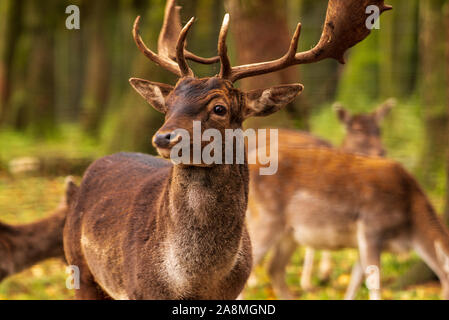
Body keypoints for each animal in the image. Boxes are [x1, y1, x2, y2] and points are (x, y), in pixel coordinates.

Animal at [63, 0, 388, 300]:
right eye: (168, 106)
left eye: (219, 108)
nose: (163, 138)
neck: (194, 282)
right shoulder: (139, 290)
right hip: (80, 267)